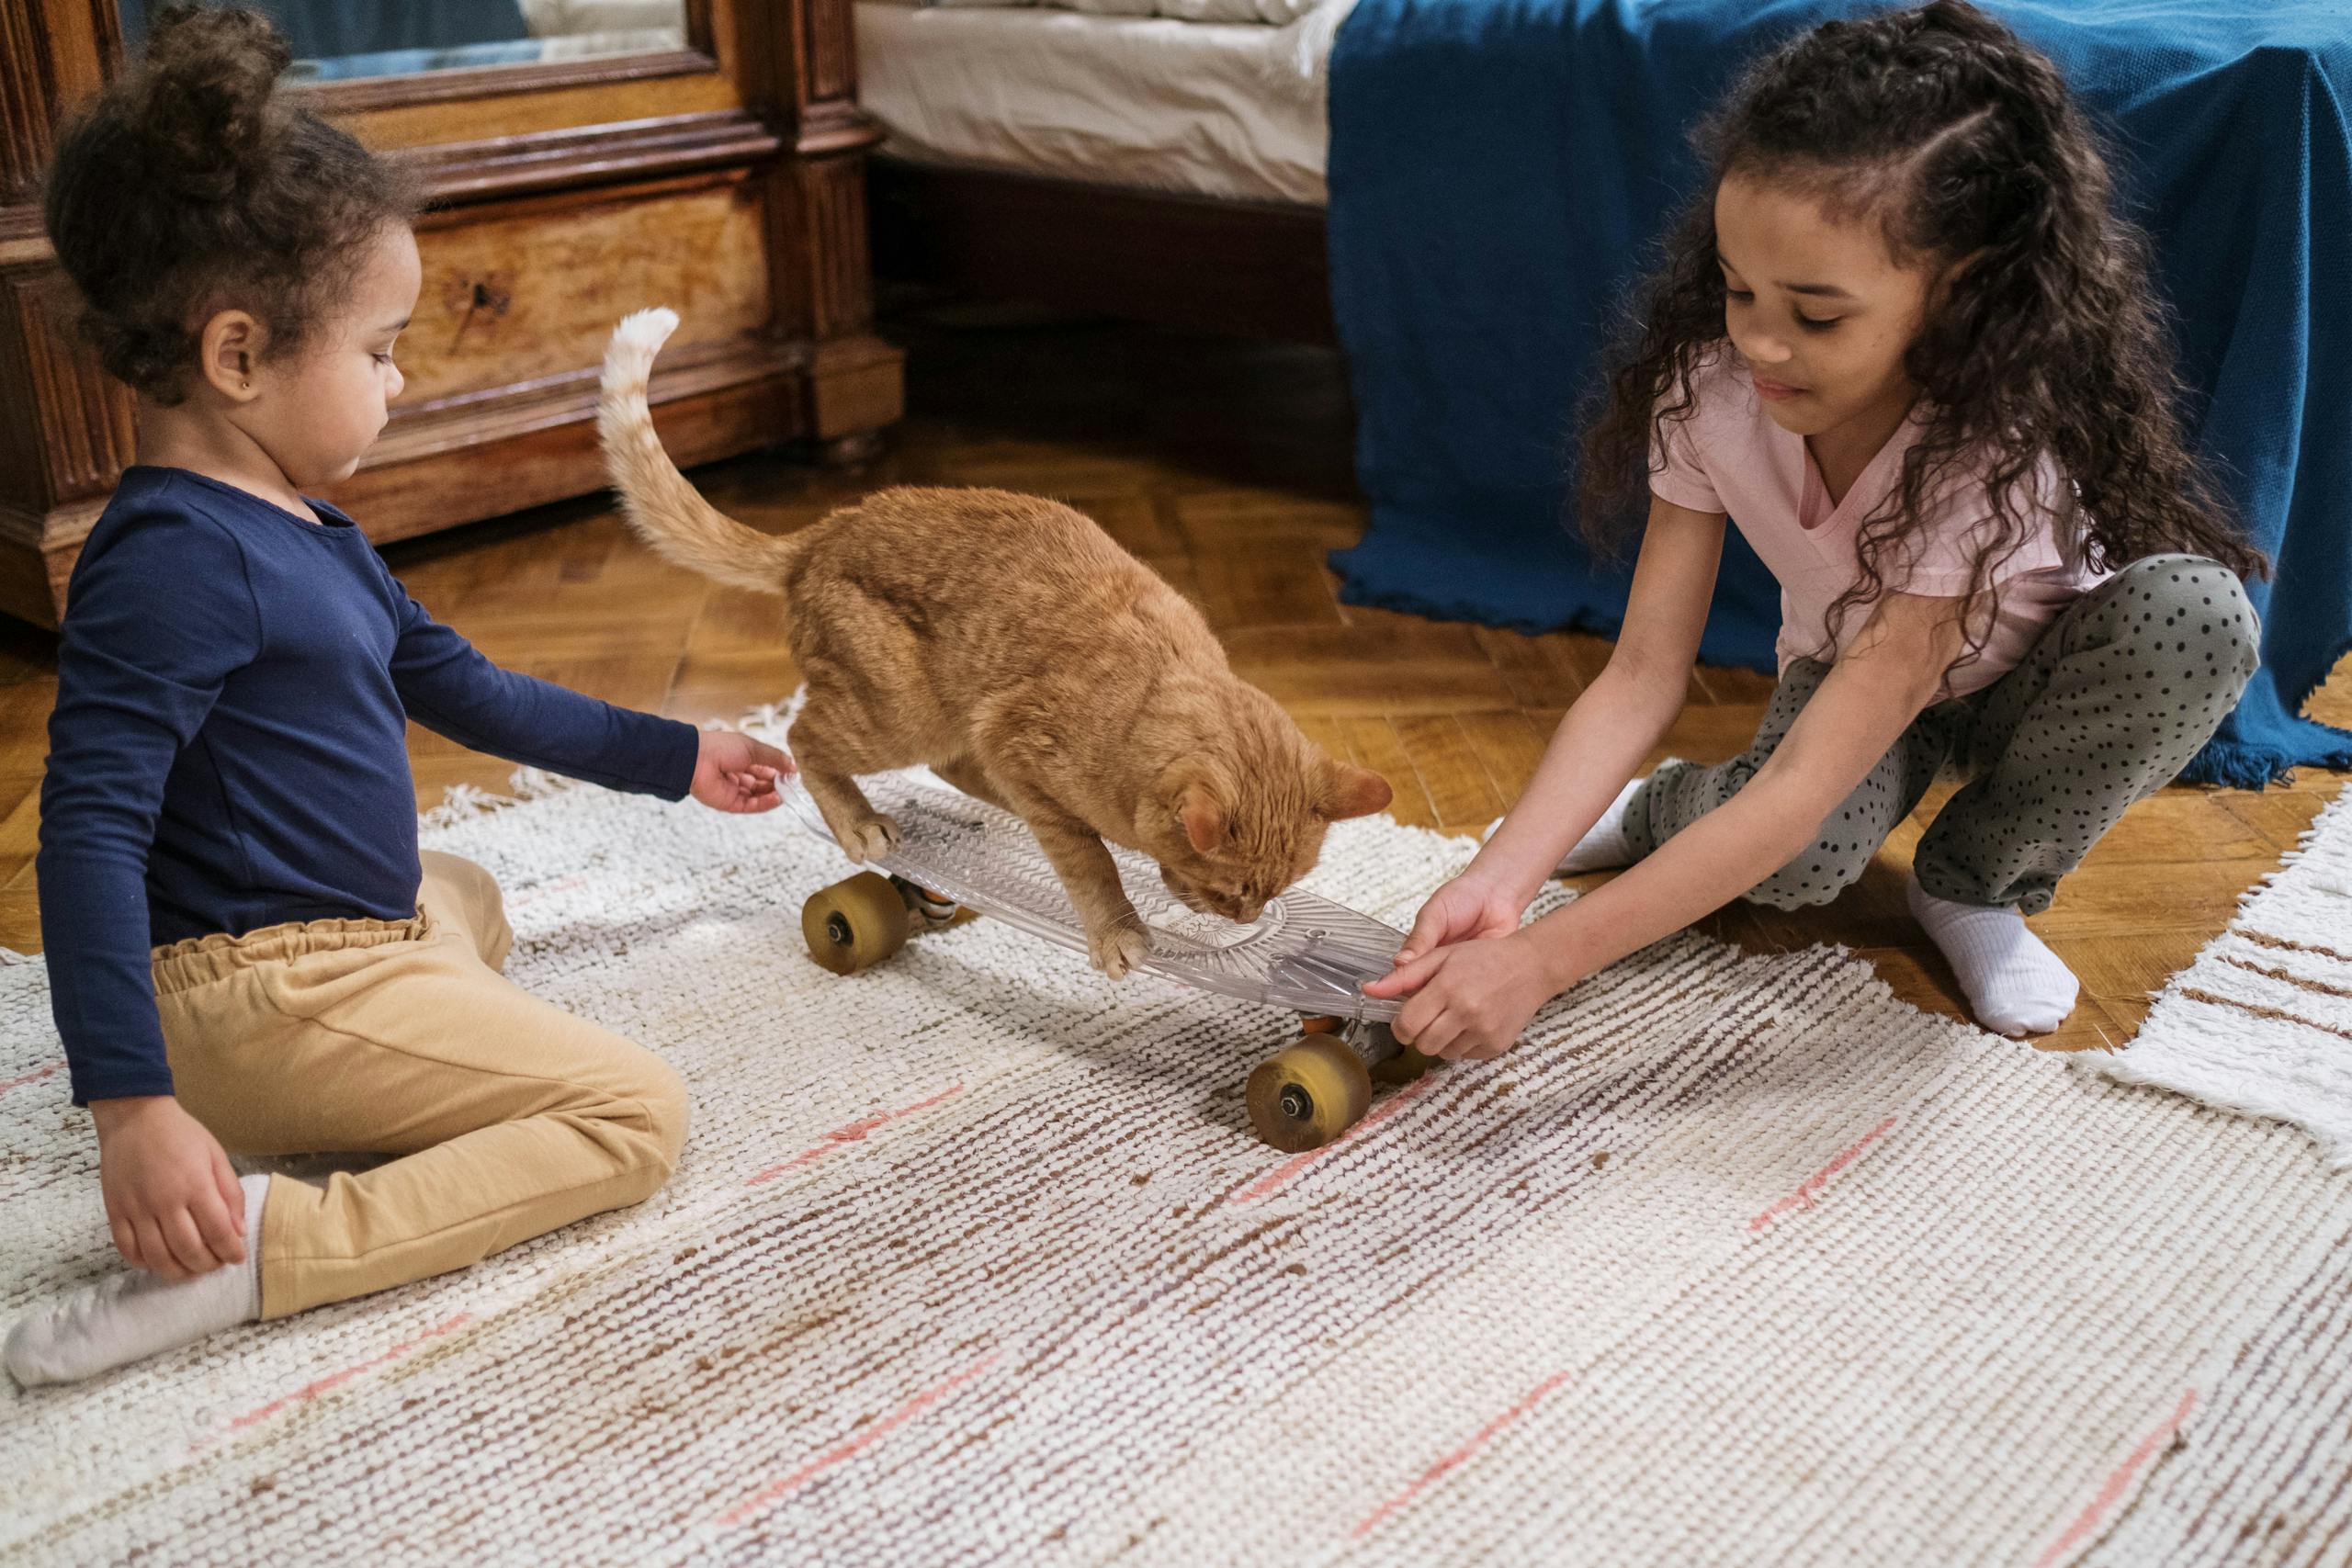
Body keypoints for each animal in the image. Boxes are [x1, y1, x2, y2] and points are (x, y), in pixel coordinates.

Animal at [597, 310, 1383, 982]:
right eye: (1230, 892)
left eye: (1277, 889)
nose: (1247, 920)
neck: (1148, 694)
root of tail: (823, 532)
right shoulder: (1017, 738)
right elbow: (1089, 859)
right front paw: (1117, 927)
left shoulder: (1003, 739)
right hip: (902, 713)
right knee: (804, 737)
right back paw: (860, 821)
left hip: (947, 715)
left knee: (949, 767)